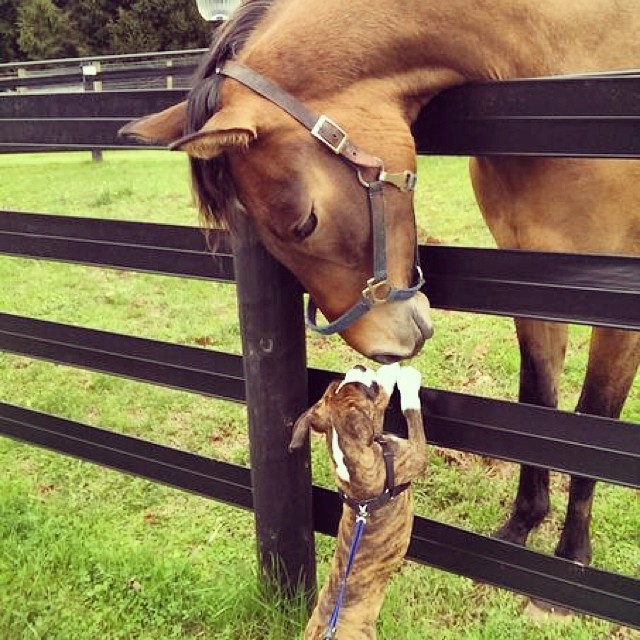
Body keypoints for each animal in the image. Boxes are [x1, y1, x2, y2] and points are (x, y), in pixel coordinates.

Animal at [121, 0, 640, 608]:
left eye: (305, 223)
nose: (383, 348)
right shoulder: (532, 276)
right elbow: (539, 402)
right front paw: (522, 526)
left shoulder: (616, 303)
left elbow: (594, 422)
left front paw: (570, 559)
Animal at [292, 364, 428, 640]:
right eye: (361, 387)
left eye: (339, 383)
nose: (360, 366)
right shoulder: (415, 454)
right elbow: (403, 409)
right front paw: (401, 377)